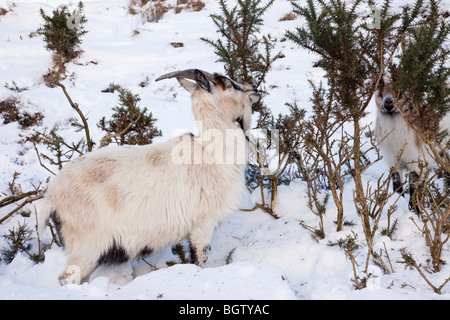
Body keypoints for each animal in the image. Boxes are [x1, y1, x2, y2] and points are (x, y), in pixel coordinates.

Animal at [41, 69, 264, 284]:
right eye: (228, 83)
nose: (254, 88)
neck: (213, 152)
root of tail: (50, 197)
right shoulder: (202, 225)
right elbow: (199, 260)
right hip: (86, 247)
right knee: (67, 278)